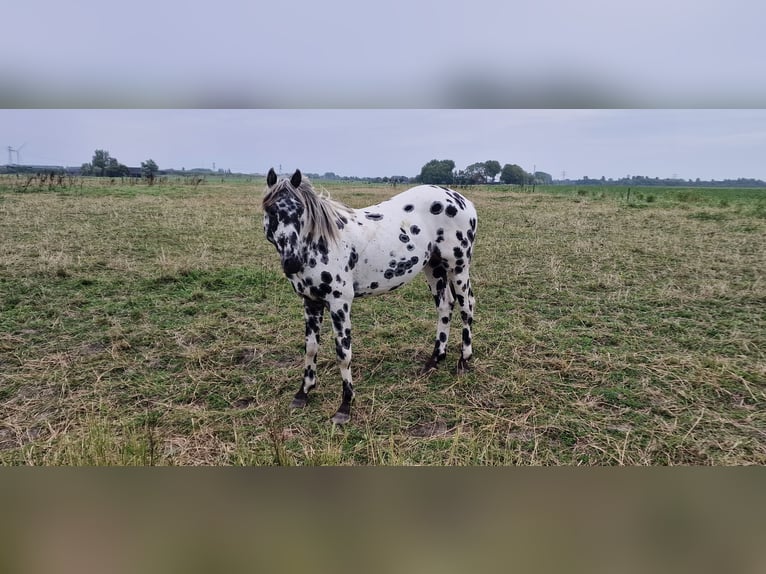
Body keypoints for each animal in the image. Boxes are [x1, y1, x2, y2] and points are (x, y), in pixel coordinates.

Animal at [266, 169, 480, 426]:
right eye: (271, 211)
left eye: (300, 211)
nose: (292, 263)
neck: (321, 244)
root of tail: (461, 200)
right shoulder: (311, 302)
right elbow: (310, 348)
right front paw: (303, 393)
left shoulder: (339, 303)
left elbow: (343, 354)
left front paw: (345, 406)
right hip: (434, 267)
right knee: (445, 306)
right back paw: (434, 360)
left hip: (458, 267)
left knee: (466, 307)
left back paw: (464, 360)